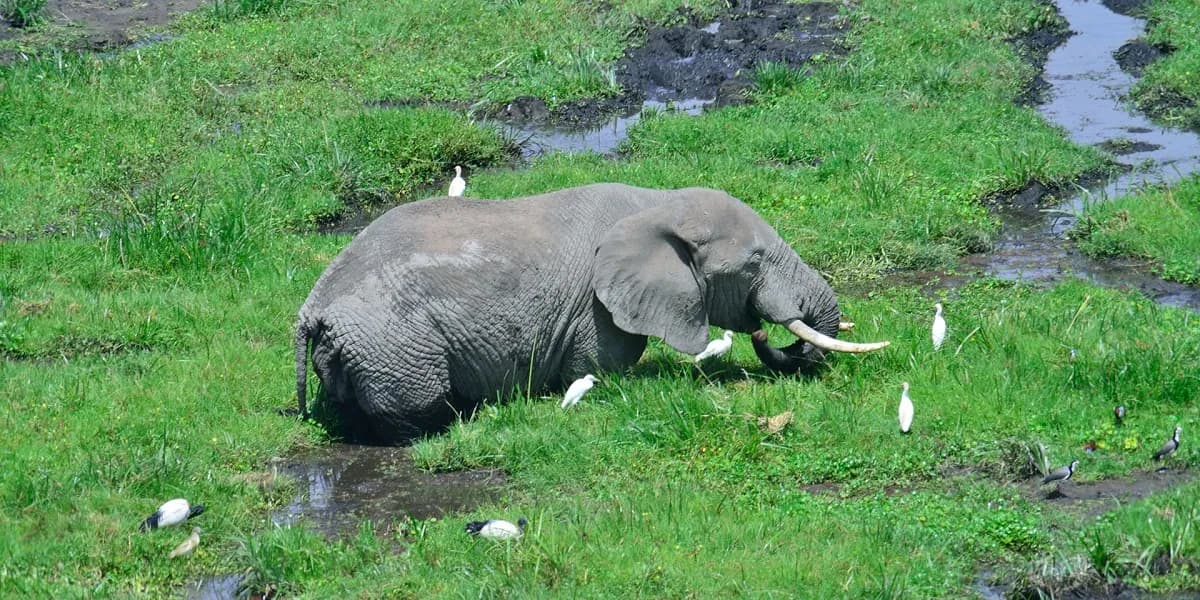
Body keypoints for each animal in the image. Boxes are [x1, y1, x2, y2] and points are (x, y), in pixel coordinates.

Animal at [295, 183, 888, 443]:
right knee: (418, 411)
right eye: (755, 262)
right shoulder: (597, 308)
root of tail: (312, 309)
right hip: (395, 342)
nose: (763, 333)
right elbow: (606, 366)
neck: (657, 202)